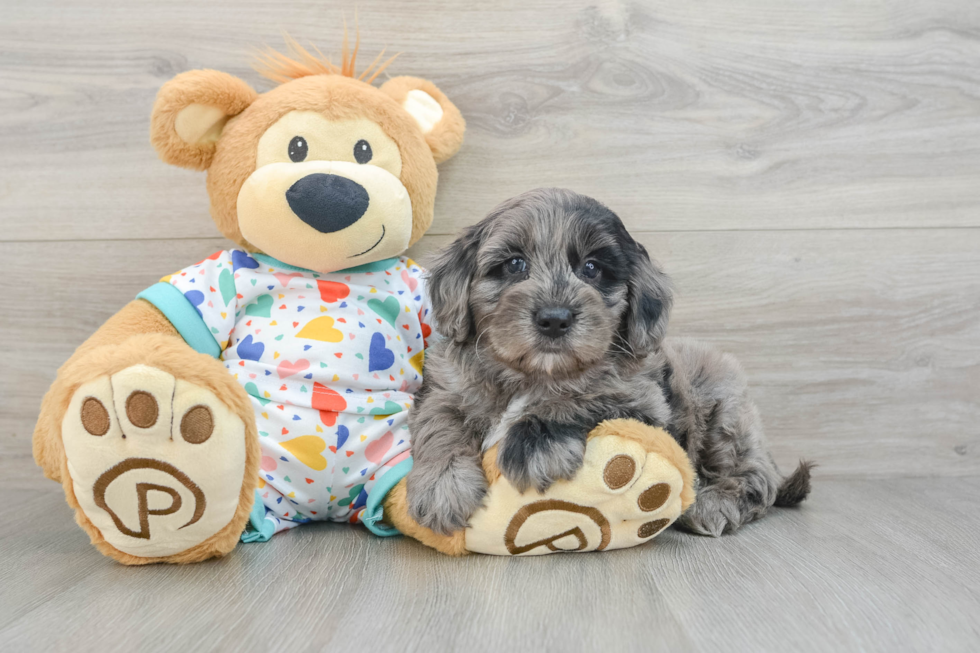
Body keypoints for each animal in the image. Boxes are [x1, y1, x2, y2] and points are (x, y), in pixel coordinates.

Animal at [406, 187, 812, 536]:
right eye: (514, 264)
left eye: (592, 269)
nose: (554, 319)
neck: (537, 374)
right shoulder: (446, 389)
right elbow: (439, 424)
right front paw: (442, 484)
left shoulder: (643, 402)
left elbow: (582, 400)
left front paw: (537, 444)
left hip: (724, 409)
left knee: (757, 478)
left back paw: (714, 505)